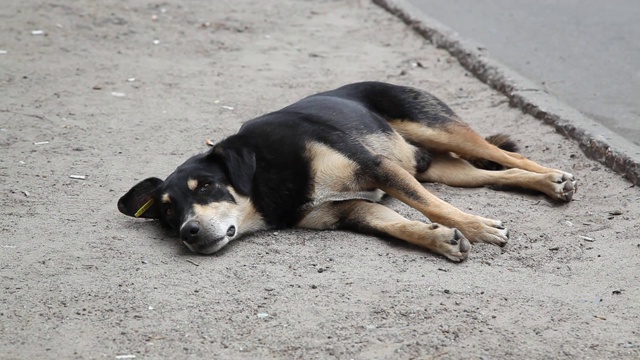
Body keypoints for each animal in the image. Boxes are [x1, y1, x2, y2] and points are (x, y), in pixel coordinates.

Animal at [117, 81, 576, 262]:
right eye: (168, 212)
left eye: (207, 186)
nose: (188, 232)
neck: (265, 178)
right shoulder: (350, 209)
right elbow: (398, 223)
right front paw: (441, 239)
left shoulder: (376, 167)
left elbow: (433, 207)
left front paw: (476, 228)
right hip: (439, 169)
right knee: (495, 174)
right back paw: (544, 184)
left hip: (436, 128)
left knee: (509, 157)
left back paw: (553, 177)